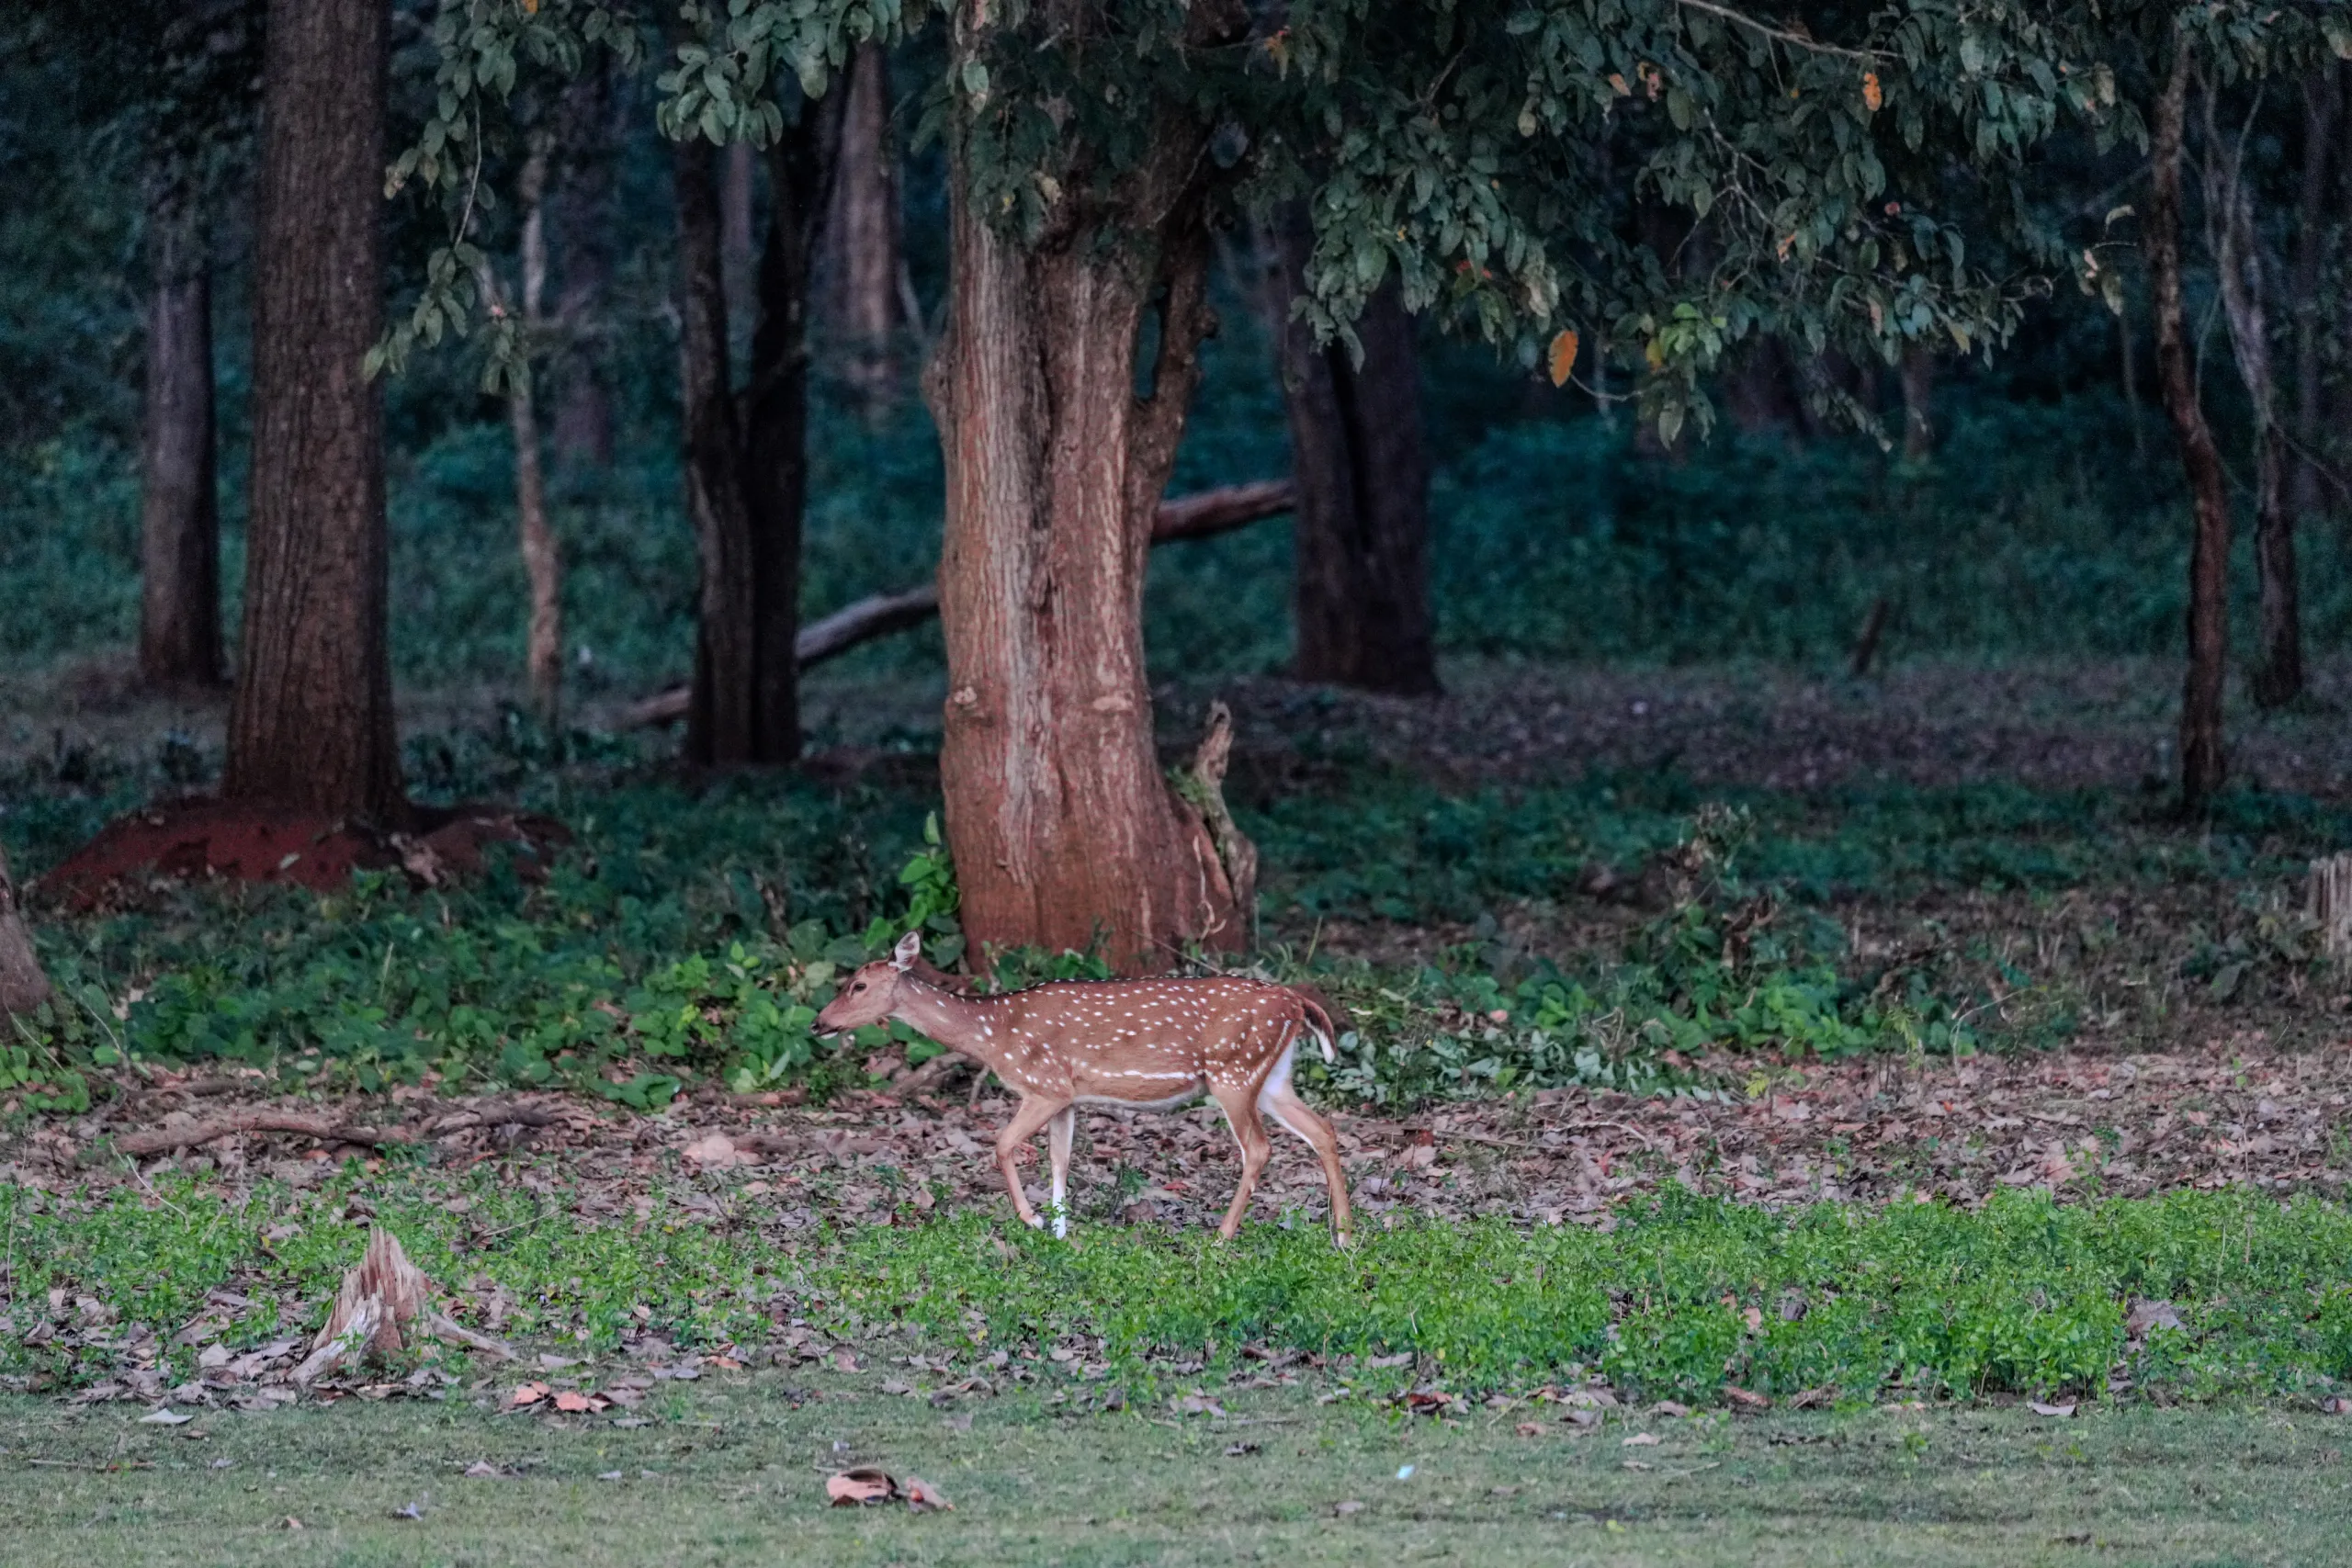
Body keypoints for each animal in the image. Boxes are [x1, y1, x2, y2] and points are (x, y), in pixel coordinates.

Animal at [815, 932, 1354, 1248]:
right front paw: (1059, 1230)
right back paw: (1345, 1235)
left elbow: (1003, 1144)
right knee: (1323, 1130)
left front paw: (1032, 1221)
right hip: (1271, 1076)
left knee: (1259, 1148)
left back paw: (1221, 1236)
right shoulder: (1067, 1097)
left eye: (858, 985)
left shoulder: (1044, 1085)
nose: (820, 1023)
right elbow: (1060, 1159)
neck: (994, 1034)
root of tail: (1296, 1002)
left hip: (1233, 1071)